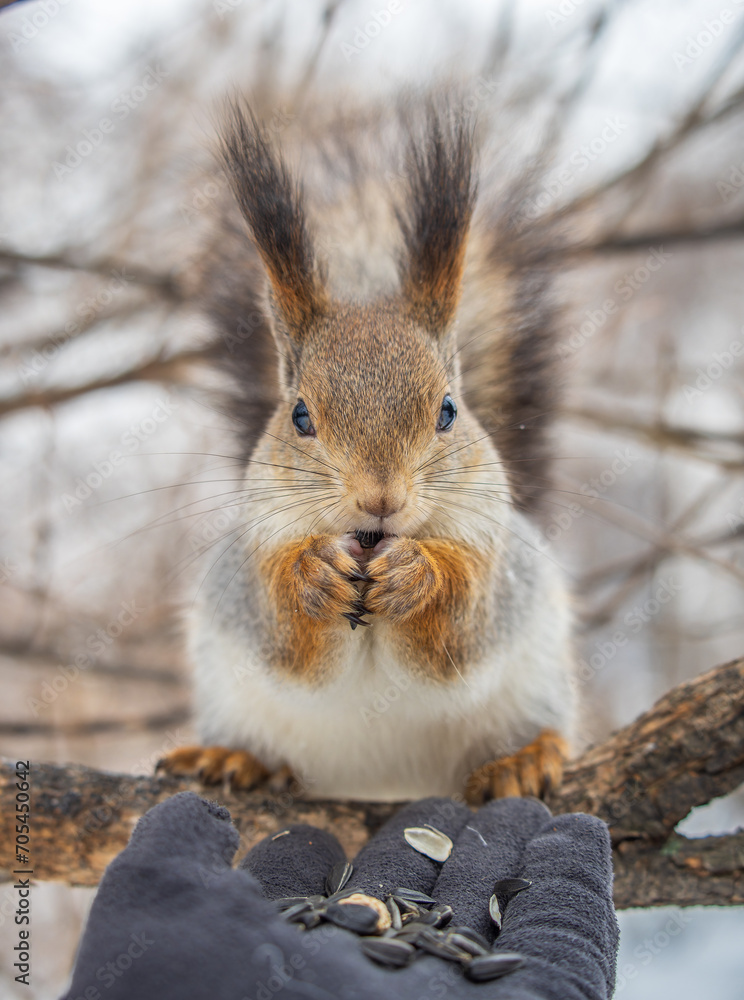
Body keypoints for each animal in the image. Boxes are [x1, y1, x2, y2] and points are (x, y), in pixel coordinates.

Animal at [157, 97, 577, 804]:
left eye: (448, 411)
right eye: (300, 414)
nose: (381, 499)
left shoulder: (491, 554)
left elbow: (460, 627)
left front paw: (418, 575)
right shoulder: (254, 561)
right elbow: (288, 637)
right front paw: (312, 574)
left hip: (539, 672)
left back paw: (524, 757)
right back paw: (238, 758)